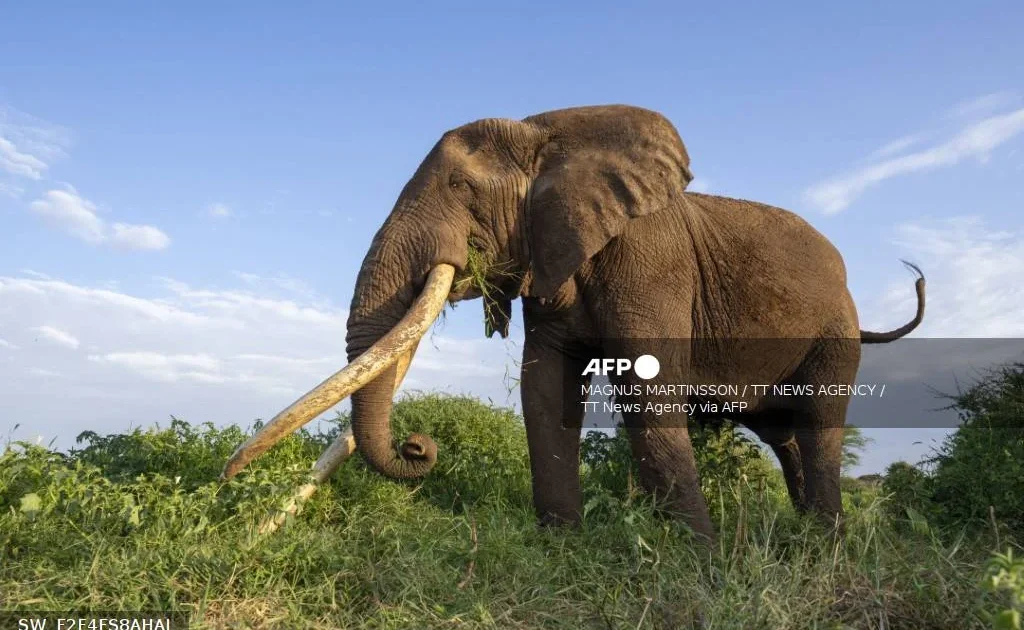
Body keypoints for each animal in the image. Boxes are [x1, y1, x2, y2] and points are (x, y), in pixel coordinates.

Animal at [221, 104, 925, 541]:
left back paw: (825, 547)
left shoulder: (650, 260)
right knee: (784, 436)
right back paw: (805, 538)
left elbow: (647, 391)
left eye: (462, 191)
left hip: (836, 328)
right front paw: (563, 546)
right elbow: (545, 388)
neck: (549, 132)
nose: (419, 445)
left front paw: (698, 561)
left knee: (819, 425)